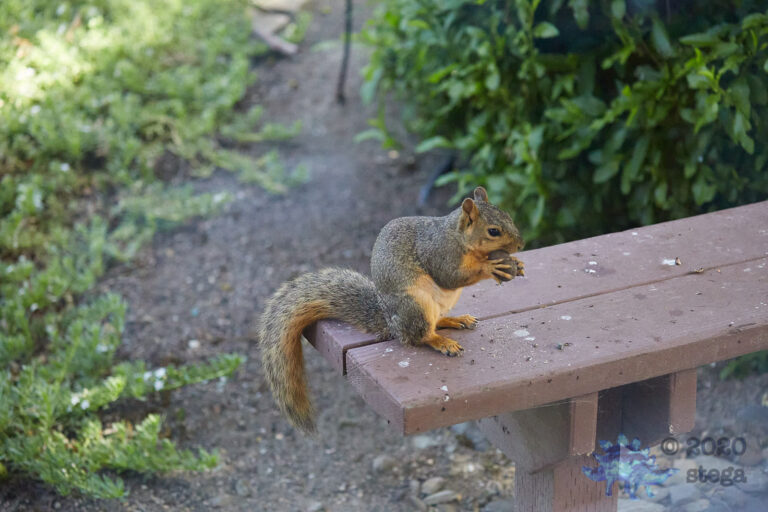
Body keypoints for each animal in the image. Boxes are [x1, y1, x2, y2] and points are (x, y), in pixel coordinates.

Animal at [259, 186, 525, 433]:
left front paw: (517, 264)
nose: (521, 244)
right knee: (419, 336)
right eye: (493, 231)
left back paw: (455, 320)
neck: (457, 236)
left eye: (509, 216)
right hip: (416, 306)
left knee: (435, 322)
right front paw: (490, 267)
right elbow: (451, 277)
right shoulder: (440, 254)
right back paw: (441, 342)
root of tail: (390, 321)